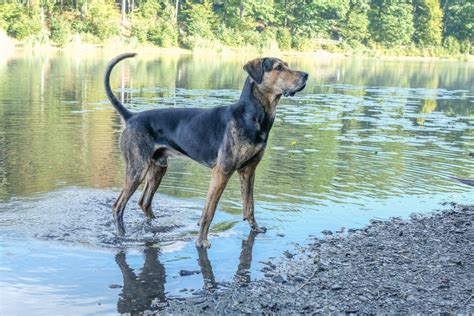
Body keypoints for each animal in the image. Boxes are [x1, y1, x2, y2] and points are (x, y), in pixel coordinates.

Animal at [103, 53, 308, 248]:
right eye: (279, 67)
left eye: (287, 65)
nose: (306, 75)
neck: (251, 116)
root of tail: (131, 117)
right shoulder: (221, 172)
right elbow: (209, 211)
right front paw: (201, 241)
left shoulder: (249, 171)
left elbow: (249, 206)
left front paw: (255, 228)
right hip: (137, 169)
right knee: (118, 206)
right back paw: (122, 236)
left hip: (158, 168)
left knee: (144, 203)